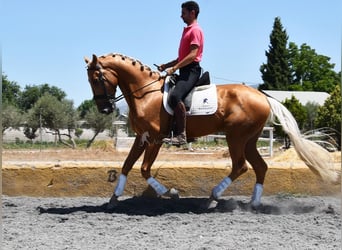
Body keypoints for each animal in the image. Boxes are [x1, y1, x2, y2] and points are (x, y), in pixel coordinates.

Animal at [85, 53, 336, 209]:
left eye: (97, 78)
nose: (105, 108)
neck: (145, 94)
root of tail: (263, 96)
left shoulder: (155, 139)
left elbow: (145, 169)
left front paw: (170, 192)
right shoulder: (141, 137)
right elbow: (126, 166)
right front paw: (113, 198)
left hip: (236, 137)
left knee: (240, 166)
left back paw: (212, 198)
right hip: (249, 140)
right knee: (260, 167)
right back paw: (253, 204)